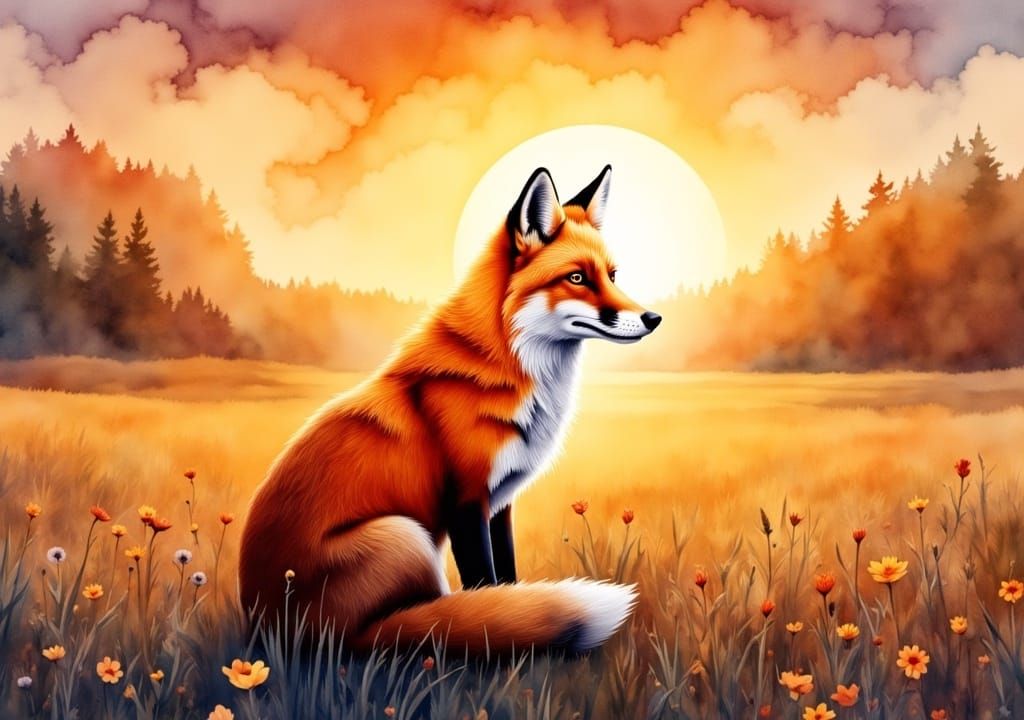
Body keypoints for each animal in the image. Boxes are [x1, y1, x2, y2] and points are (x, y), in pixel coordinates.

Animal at [239, 165, 663, 655]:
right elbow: (487, 587)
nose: (653, 318)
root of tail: (269, 629)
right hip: (406, 535)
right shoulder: (466, 500)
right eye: (577, 278)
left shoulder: (499, 503)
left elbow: (506, 579)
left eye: (613, 275)